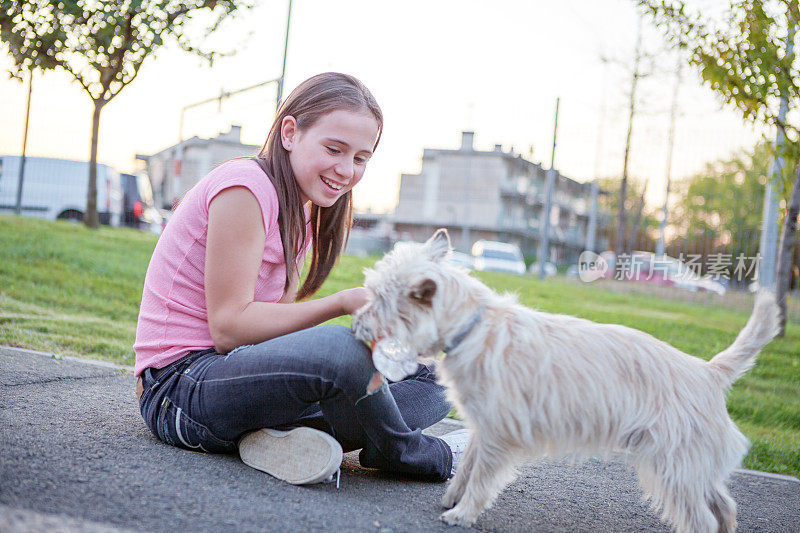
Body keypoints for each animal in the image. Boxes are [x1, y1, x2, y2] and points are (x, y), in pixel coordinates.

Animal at [354, 230, 780, 532]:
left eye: (380, 300)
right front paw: (452, 498)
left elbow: (482, 476)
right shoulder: (484, 425)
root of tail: (709, 371)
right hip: (689, 465)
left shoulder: (500, 432)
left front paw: (463, 513)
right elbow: (470, 463)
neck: (472, 327)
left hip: (673, 464)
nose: (356, 324)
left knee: (704, 517)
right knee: (724, 505)